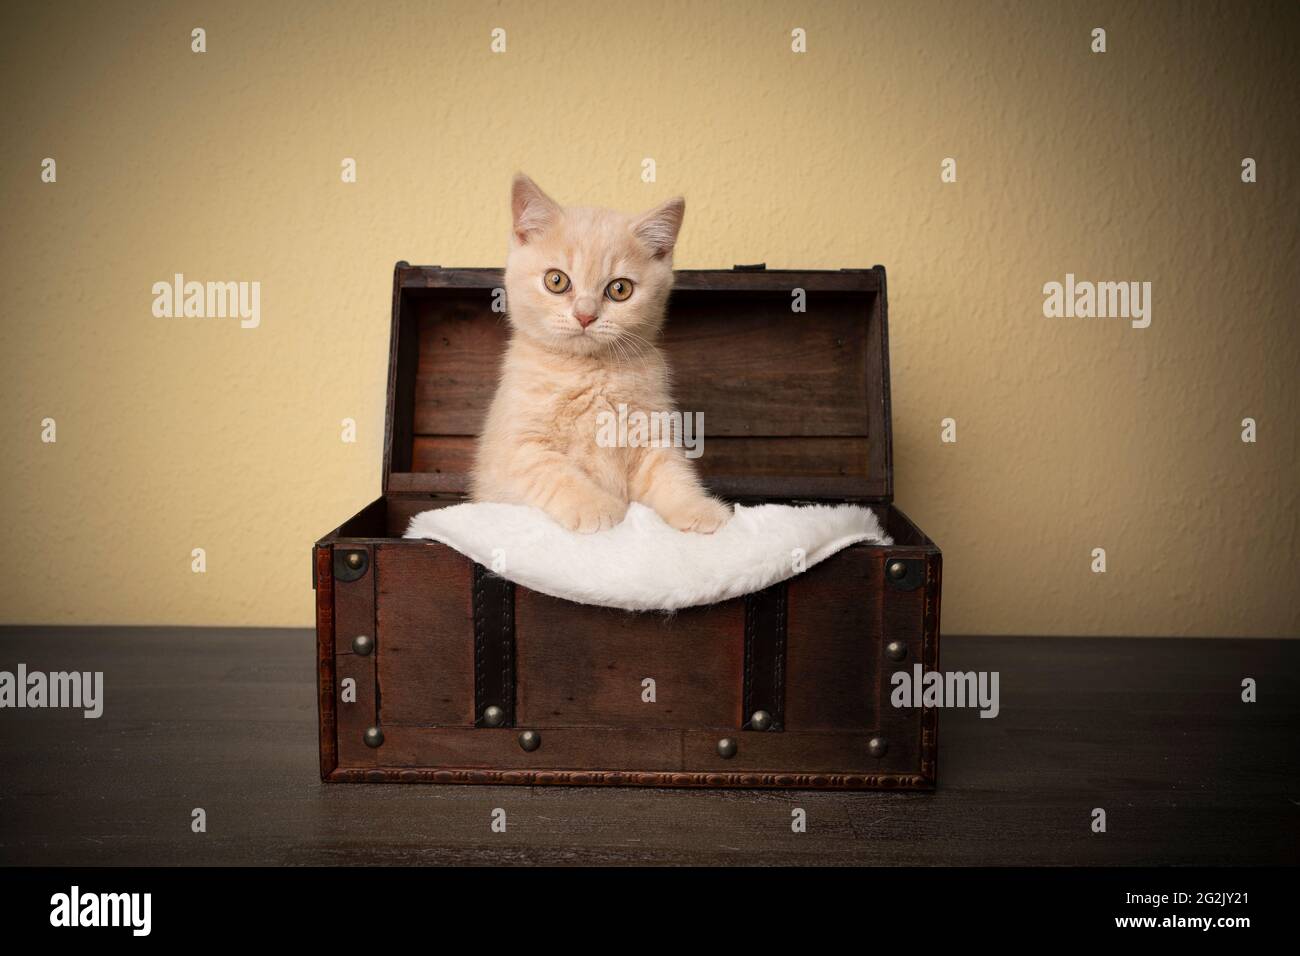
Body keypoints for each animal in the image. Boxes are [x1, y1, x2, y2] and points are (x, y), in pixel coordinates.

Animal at [467, 175, 733, 535]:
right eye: (556, 280)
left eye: (620, 289)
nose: (585, 315)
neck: (589, 371)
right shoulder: (519, 448)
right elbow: (558, 474)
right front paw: (598, 509)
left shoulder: (650, 434)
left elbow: (671, 474)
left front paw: (697, 508)